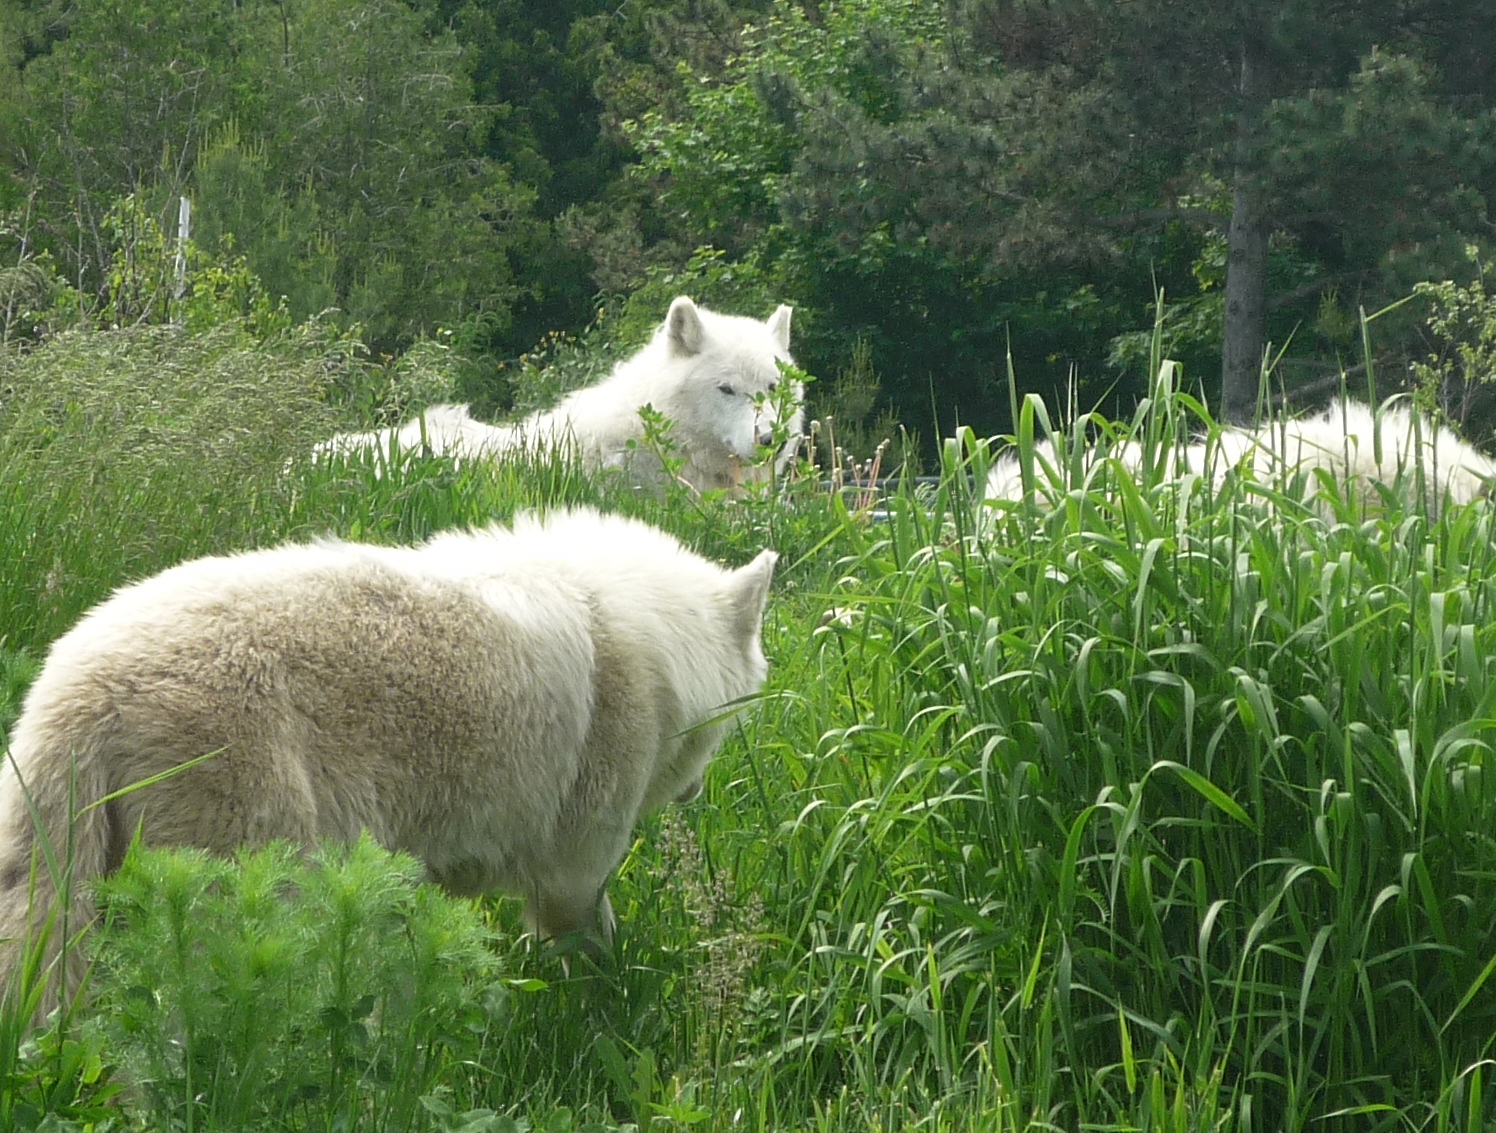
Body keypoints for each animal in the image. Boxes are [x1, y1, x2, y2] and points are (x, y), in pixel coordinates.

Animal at [0, 508, 776, 1015]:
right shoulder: (572, 874)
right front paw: (608, 1014)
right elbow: (596, 952)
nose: (696, 794)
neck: (635, 628)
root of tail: (83, 692)